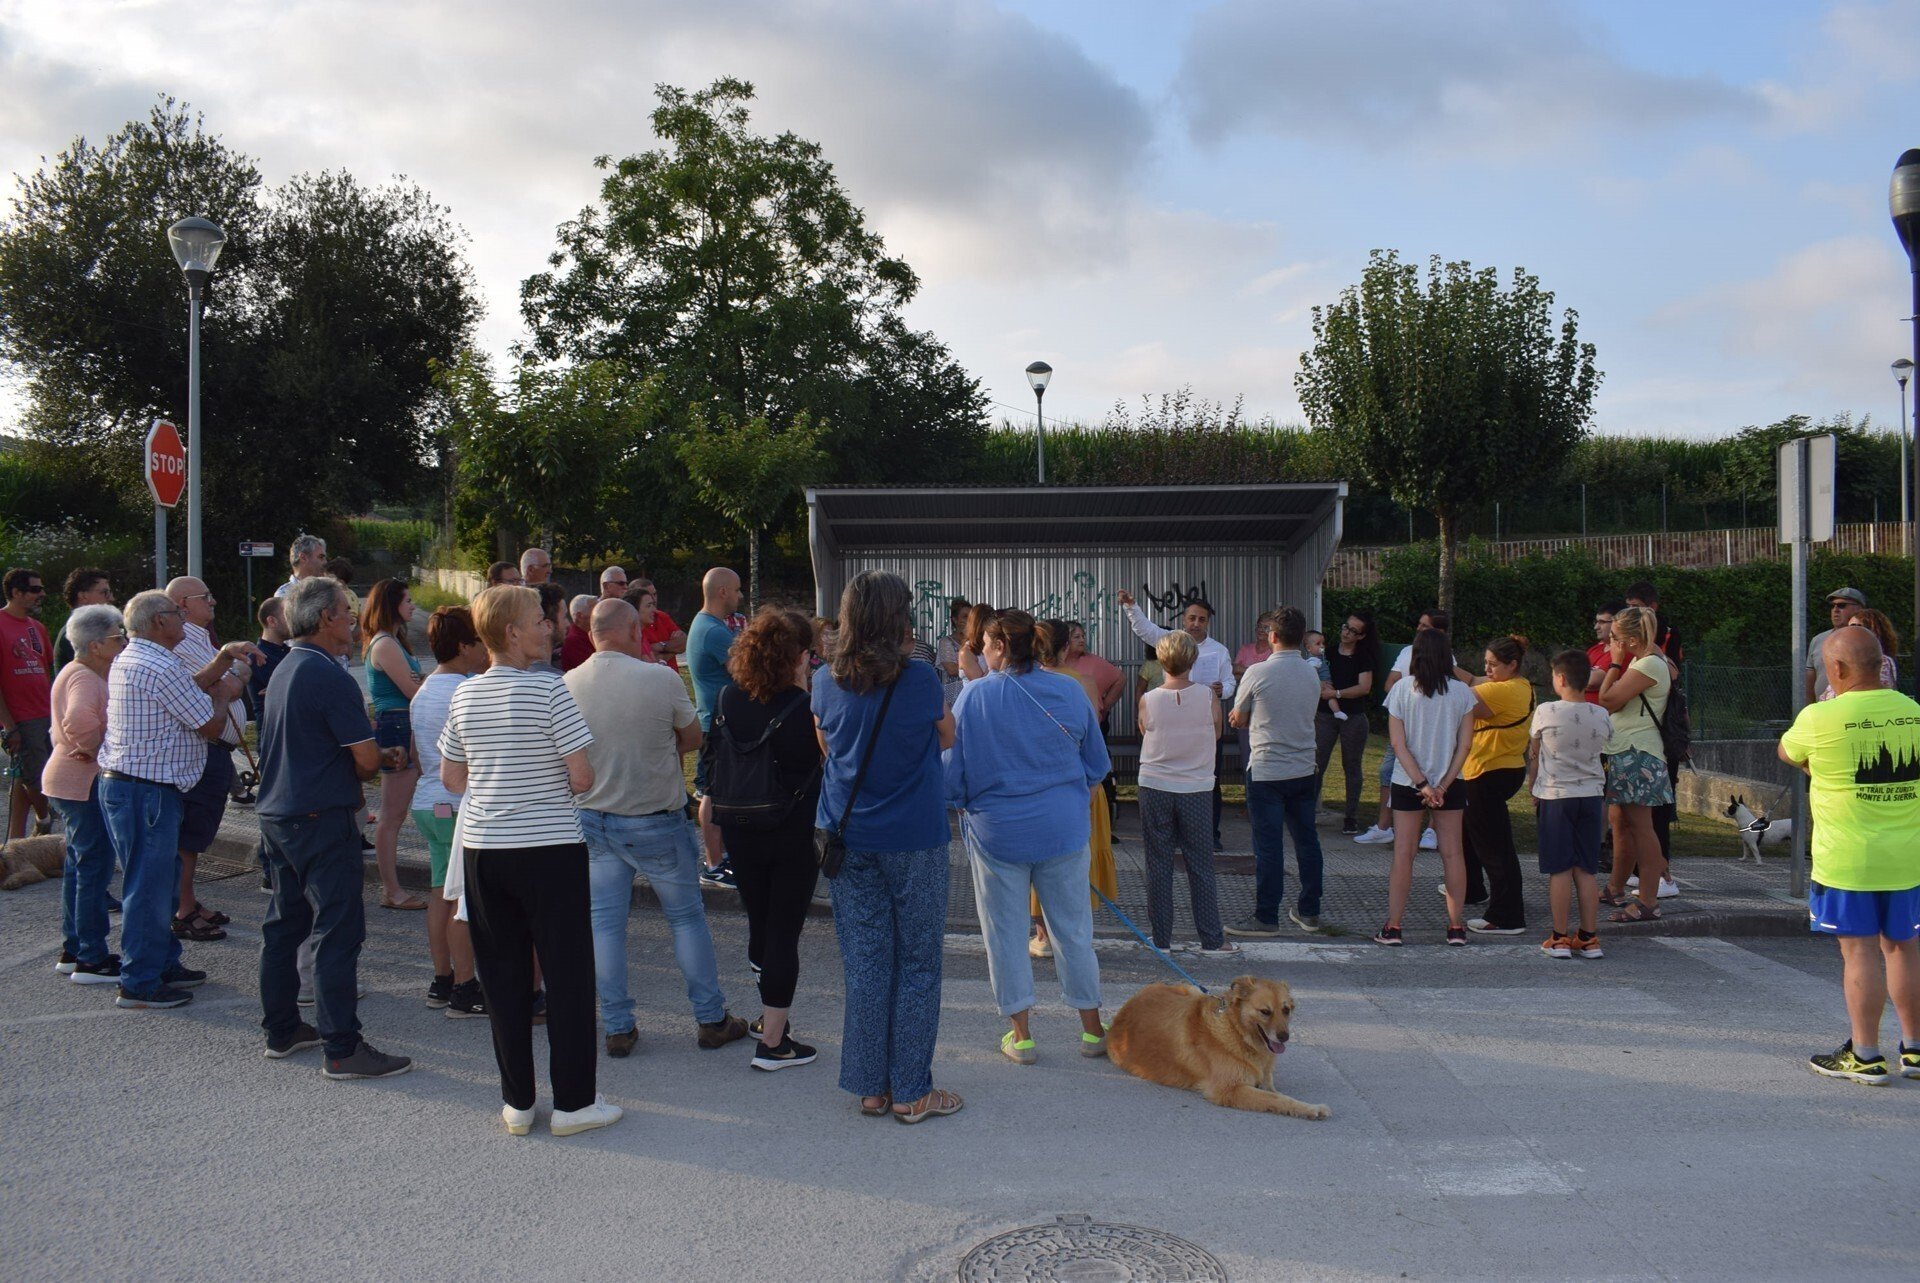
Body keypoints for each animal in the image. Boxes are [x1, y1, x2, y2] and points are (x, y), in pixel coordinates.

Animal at [1107, 976, 1329, 1120]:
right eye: (1265, 1011)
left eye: (1286, 1010)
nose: (1284, 1037)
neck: (1237, 1032)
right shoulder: (1229, 1090)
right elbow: (1277, 1099)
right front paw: (1311, 1109)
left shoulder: (1264, 1082)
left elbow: (1278, 1094)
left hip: (1193, 991)